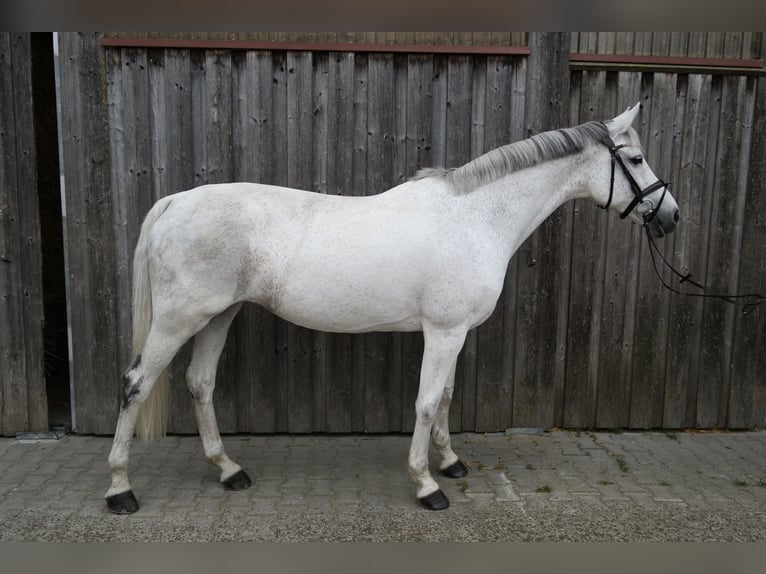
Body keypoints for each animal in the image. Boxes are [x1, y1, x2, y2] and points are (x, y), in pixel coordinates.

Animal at [106, 104, 680, 516]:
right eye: (634, 160)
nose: (670, 216)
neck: (475, 216)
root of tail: (177, 201)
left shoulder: (456, 332)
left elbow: (445, 397)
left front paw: (450, 463)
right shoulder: (443, 332)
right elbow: (425, 403)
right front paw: (427, 485)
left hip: (218, 316)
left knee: (200, 384)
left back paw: (228, 470)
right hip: (179, 319)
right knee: (135, 384)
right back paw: (120, 490)